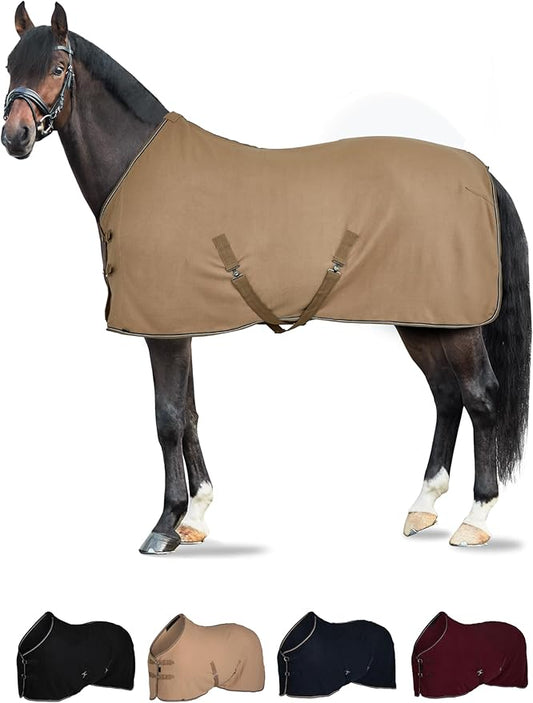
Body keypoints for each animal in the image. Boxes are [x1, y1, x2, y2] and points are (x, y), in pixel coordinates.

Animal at [2, 2, 530, 554]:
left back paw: (476, 518)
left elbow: (167, 418)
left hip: (458, 324)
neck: (138, 169)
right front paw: (196, 516)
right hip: (422, 320)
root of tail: (482, 175)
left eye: (56, 68)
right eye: (11, 66)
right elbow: (190, 414)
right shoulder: (180, 325)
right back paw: (423, 506)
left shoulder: (162, 332)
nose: (15, 137)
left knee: (481, 397)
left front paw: (165, 524)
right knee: (447, 396)